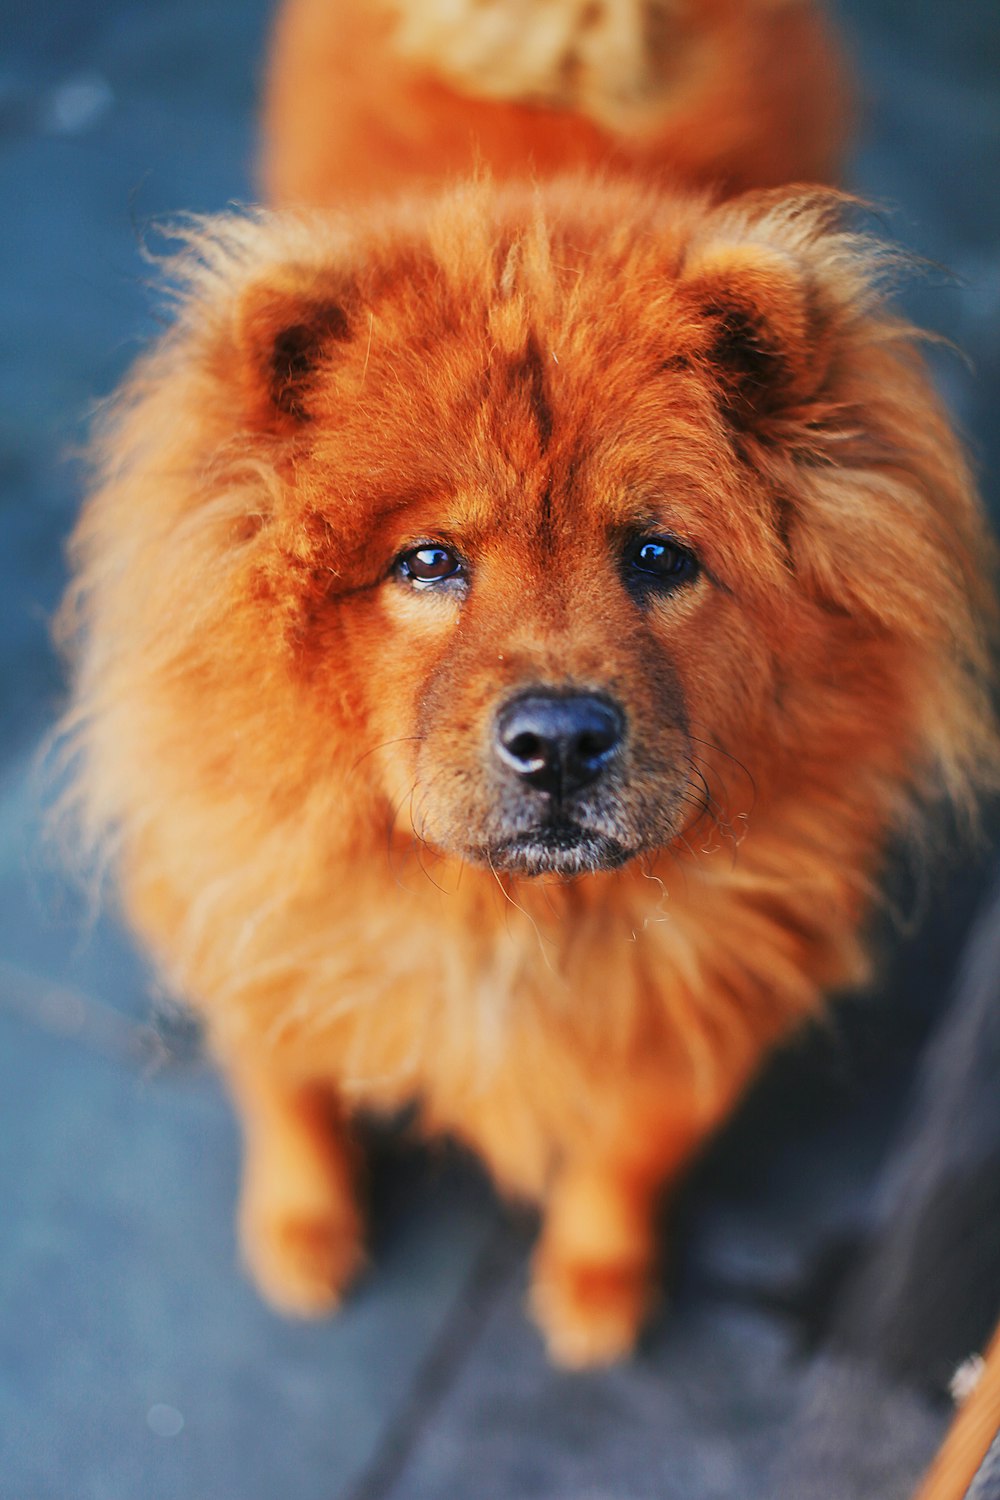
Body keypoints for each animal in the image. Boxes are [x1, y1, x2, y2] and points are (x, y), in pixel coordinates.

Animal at [64, 181, 1000, 1368]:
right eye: (427, 562)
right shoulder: (252, 913)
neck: (508, 920)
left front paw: (596, 1287)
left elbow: (632, 1151)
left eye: (658, 556)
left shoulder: (709, 992)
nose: (559, 738)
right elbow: (288, 1091)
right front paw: (302, 1237)